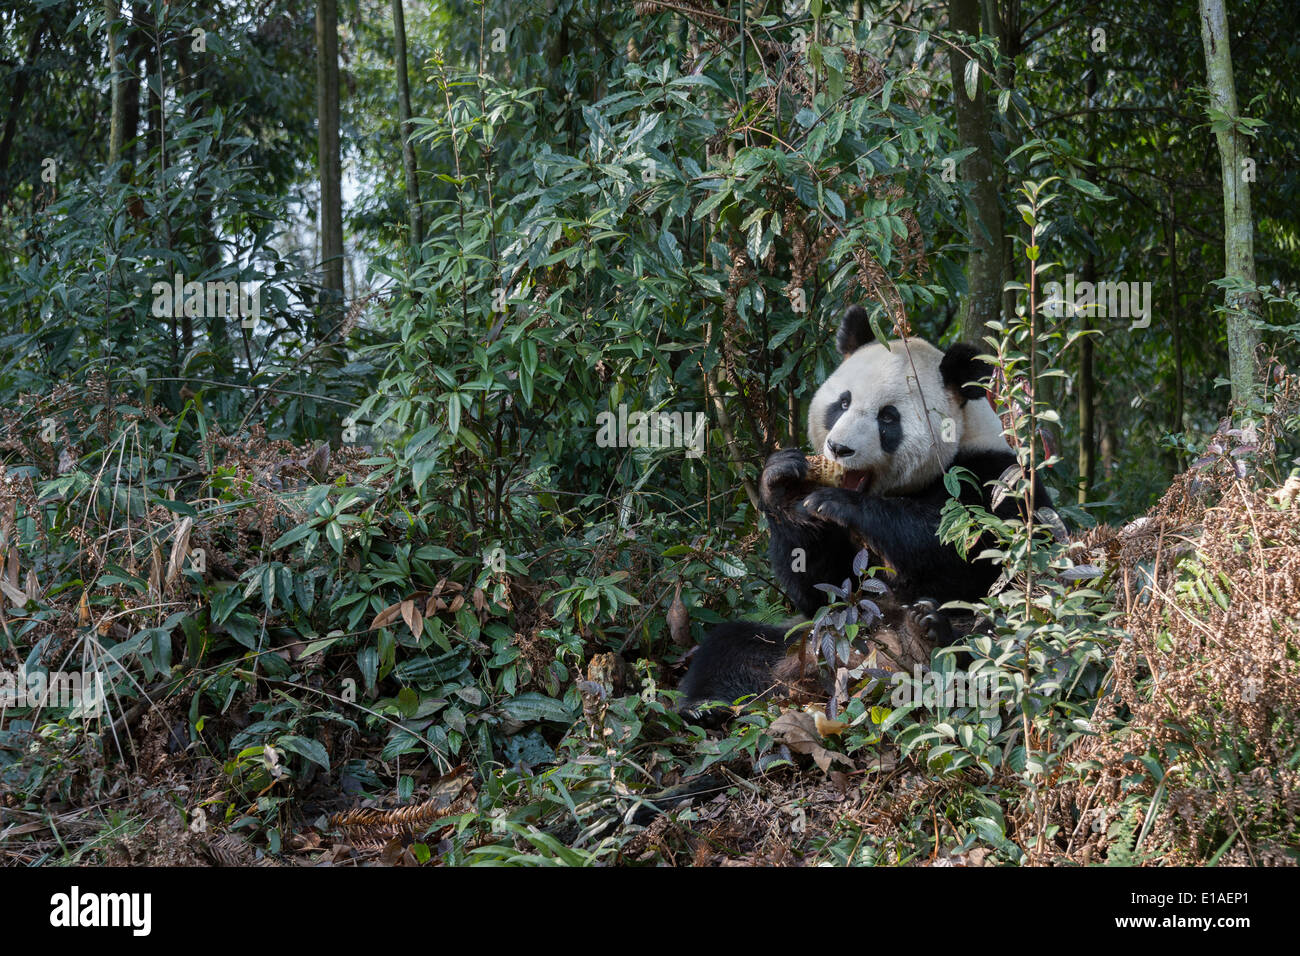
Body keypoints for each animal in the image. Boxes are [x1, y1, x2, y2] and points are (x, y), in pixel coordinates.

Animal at [677, 305, 1052, 713]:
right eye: (842, 403)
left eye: (888, 417)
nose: (838, 448)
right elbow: (822, 588)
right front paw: (782, 481)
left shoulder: (995, 477)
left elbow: (964, 550)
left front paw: (841, 504)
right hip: (801, 638)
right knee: (731, 646)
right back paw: (703, 705)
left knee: (986, 648)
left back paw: (927, 635)